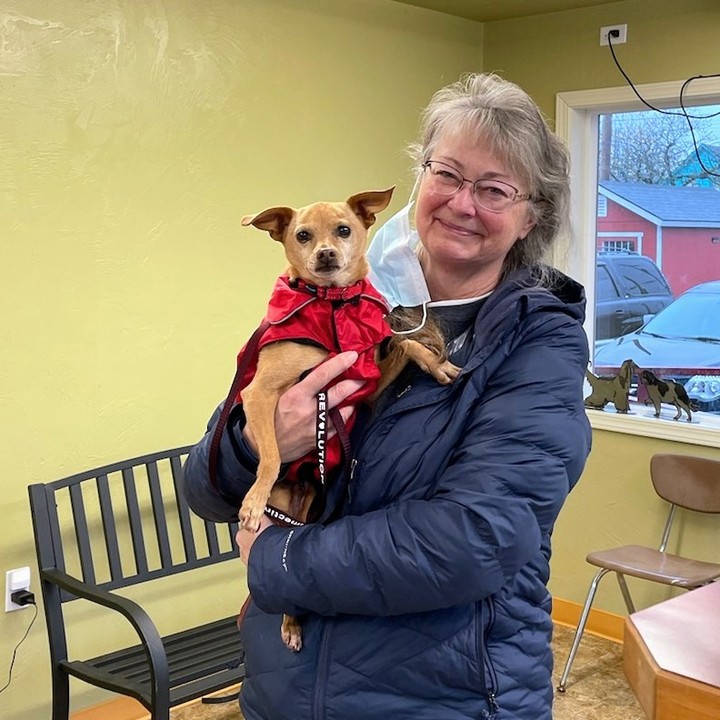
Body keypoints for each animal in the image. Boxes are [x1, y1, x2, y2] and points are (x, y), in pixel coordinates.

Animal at [236, 188, 462, 648]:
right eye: (302, 235)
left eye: (343, 230)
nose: (325, 254)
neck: (333, 305)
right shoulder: (260, 394)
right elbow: (270, 455)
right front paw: (251, 498)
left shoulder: (366, 386)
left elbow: (403, 344)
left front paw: (436, 364)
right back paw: (289, 624)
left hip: (306, 514)